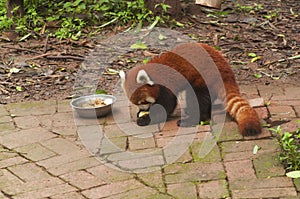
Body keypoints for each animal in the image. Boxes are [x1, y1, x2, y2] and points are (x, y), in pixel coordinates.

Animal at [120, 42, 262, 136]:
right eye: (137, 104)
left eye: (144, 102)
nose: (143, 109)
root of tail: (226, 70)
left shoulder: (166, 86)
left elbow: (166, 106)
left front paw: (146, 118)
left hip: (203, 79)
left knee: (197, 98)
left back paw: (190, 119)